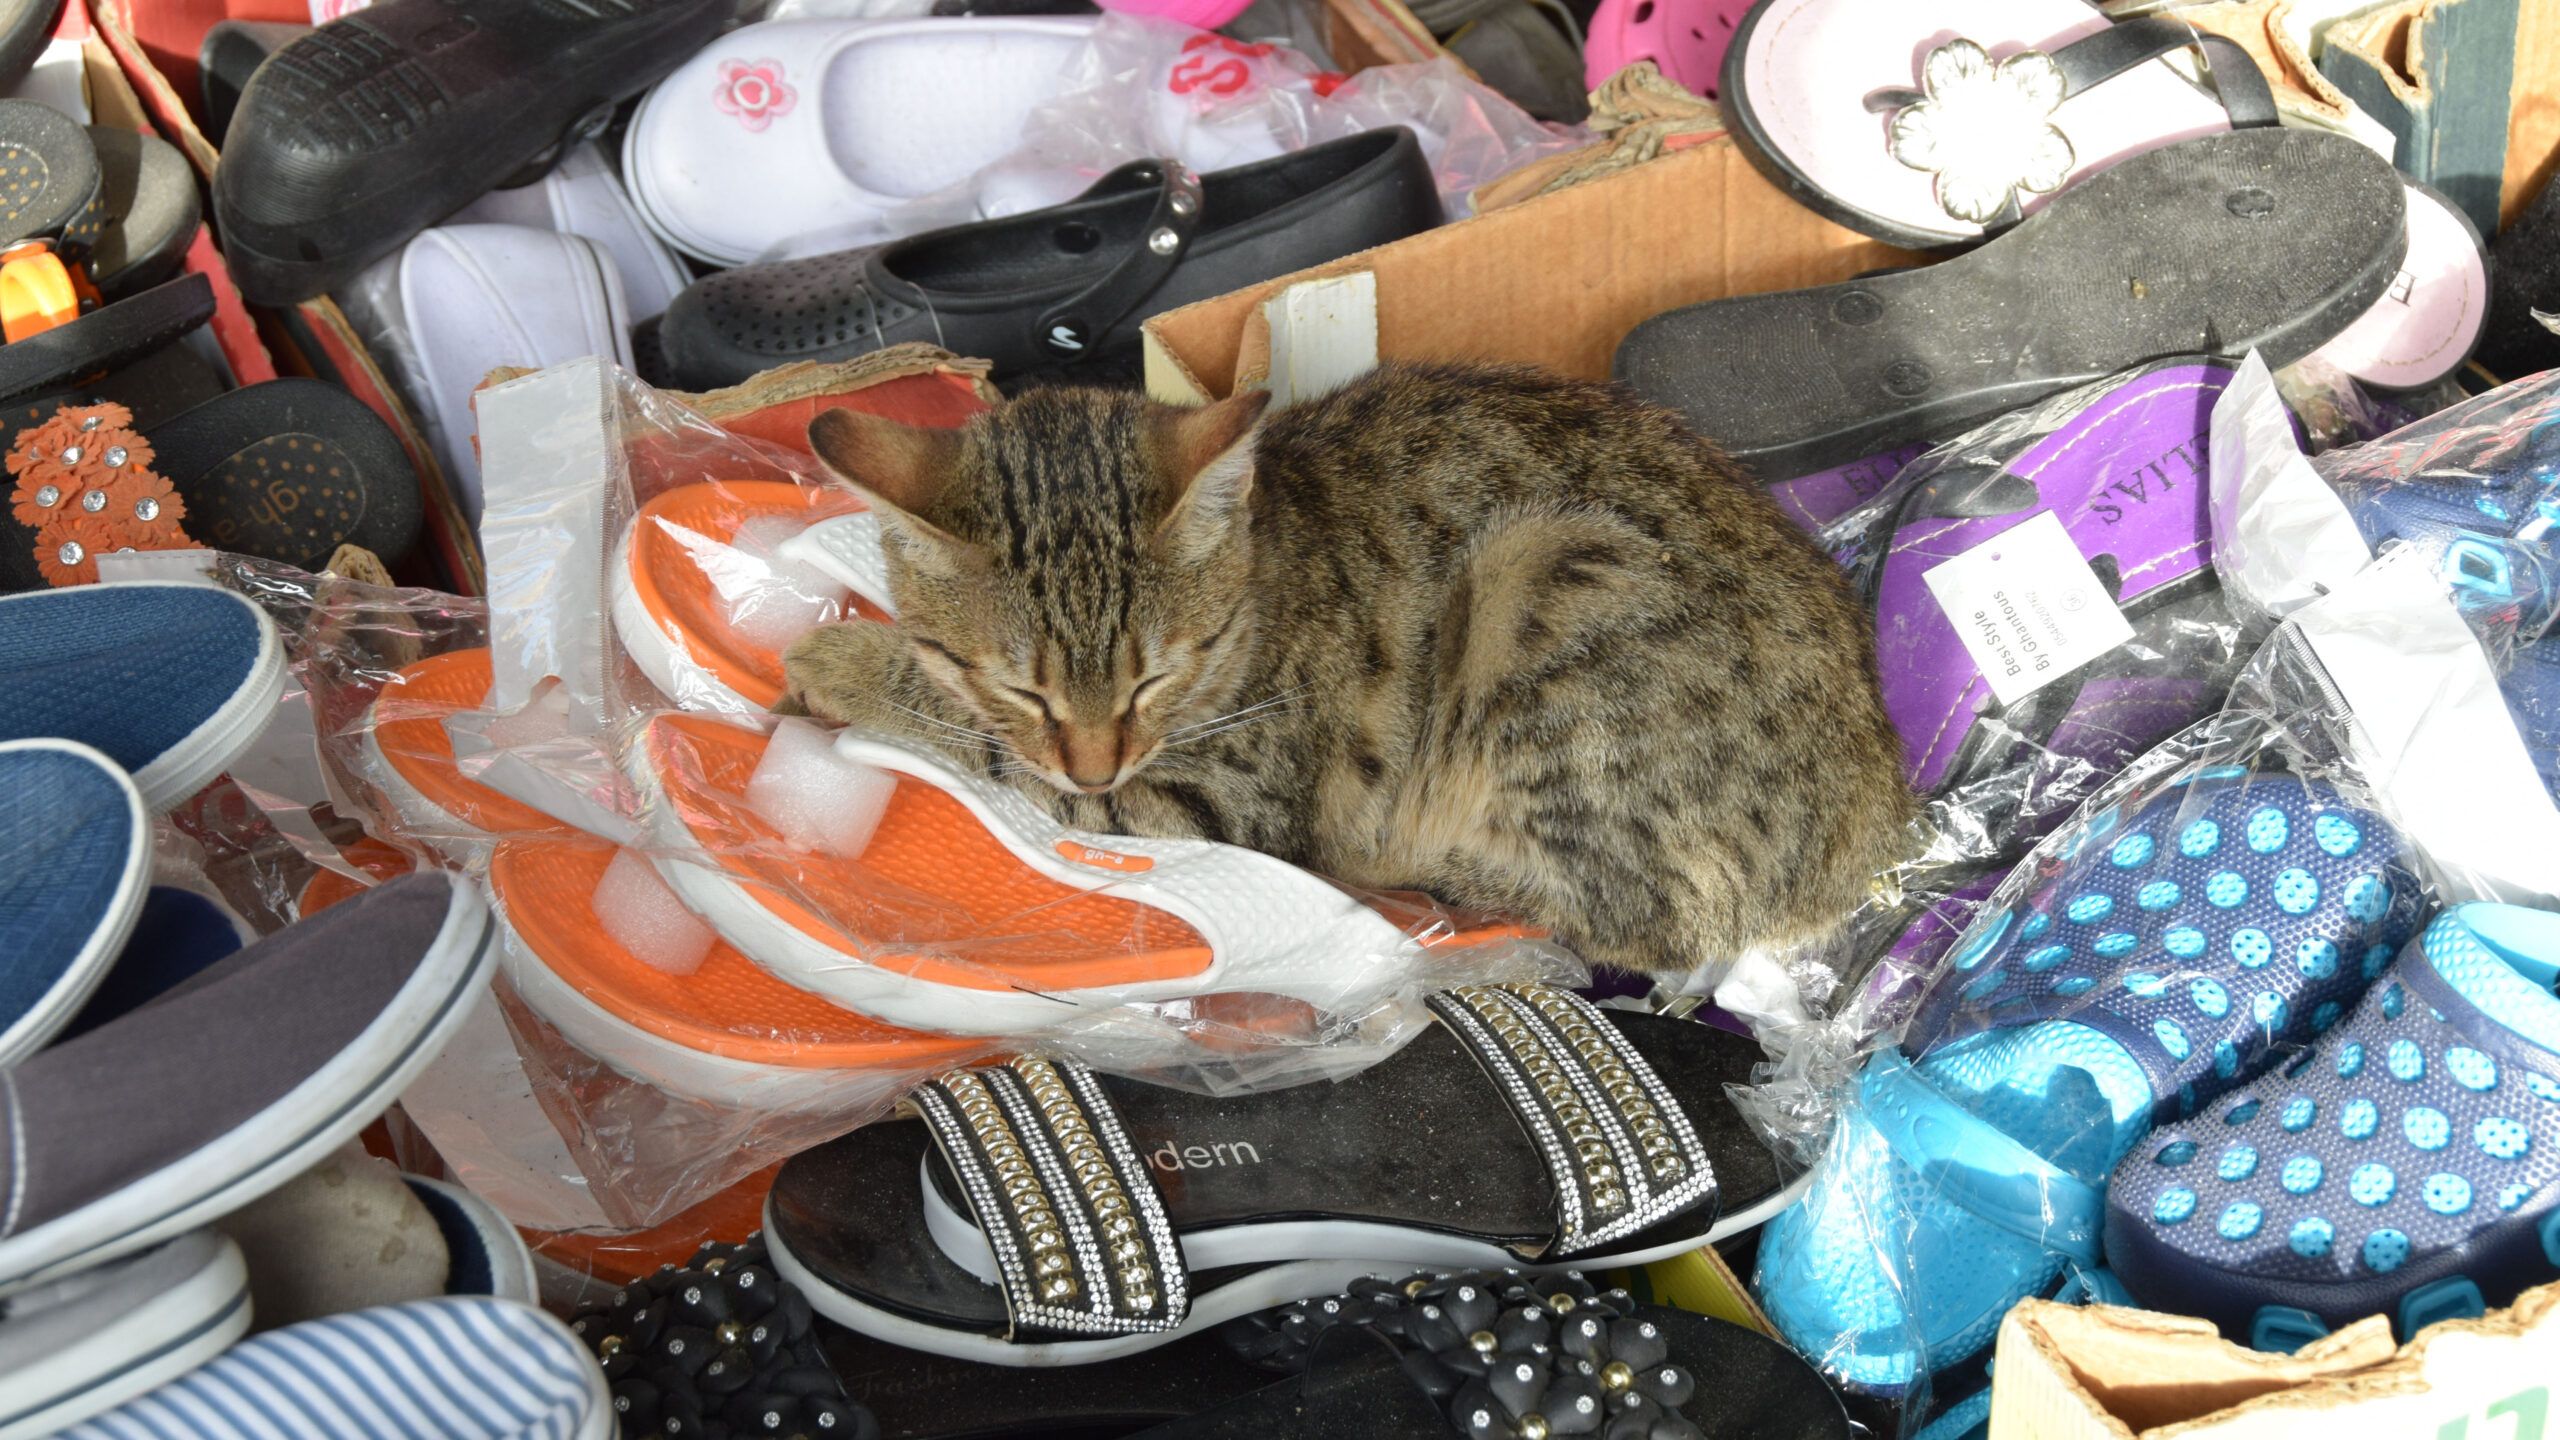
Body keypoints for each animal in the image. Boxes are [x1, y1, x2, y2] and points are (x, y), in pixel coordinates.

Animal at [788, 363, 1914, 978]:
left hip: (1549, 578)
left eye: (1154, 679)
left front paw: (844, 661)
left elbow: (1003, 759)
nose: (1097, 758)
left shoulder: (1215, 802)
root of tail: (1873, 817)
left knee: (1644, 920)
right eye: (1026, 686)